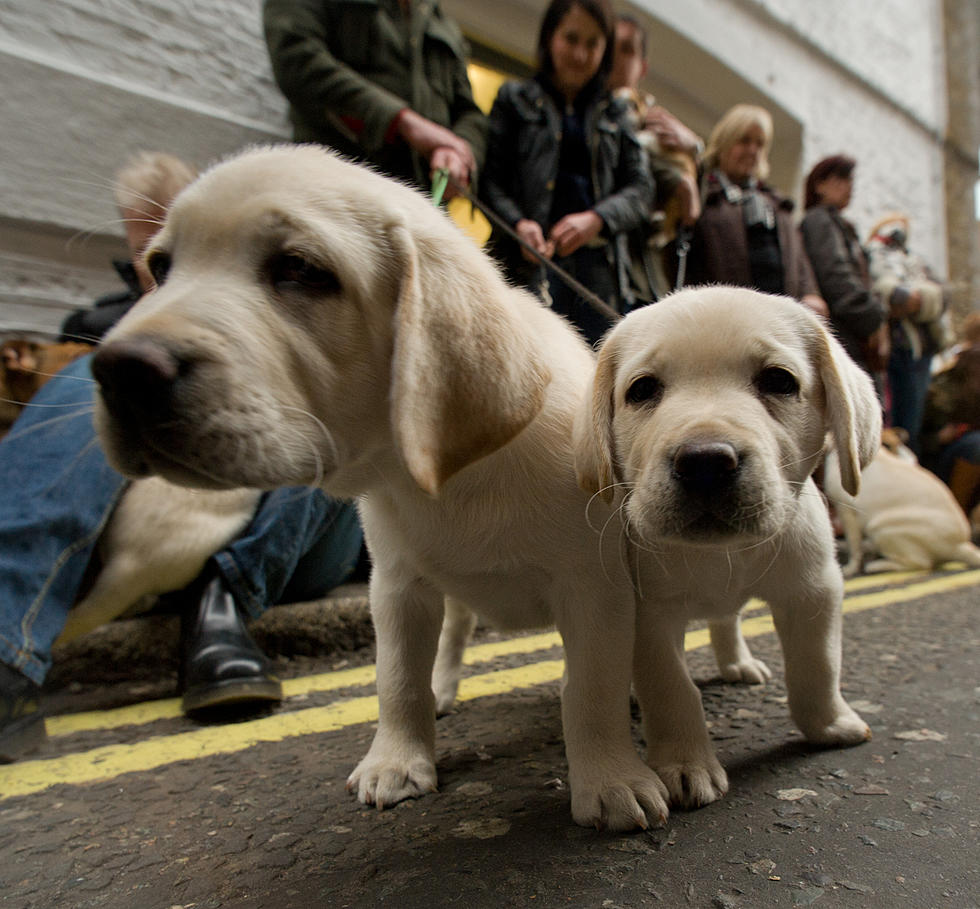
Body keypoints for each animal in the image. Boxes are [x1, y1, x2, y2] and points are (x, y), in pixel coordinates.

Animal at [90, 142, 668, 828]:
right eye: (159, 267)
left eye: (300, 269)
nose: (118, 372)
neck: (453, 480)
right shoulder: (397, 585)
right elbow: (396, 680)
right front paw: (396, 761)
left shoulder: (595, 588)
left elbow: (591, 688)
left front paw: (610, 779)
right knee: (454, 634)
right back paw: (443, 687)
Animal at [576, 290, 880, 808]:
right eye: (642, 390)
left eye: (779, 380)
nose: (705, 463)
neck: (724, 555)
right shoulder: (648, 615)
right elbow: (671, 687)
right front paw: (685, 764)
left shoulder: (814, 592)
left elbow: (817, 666)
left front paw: (829, 725)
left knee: (726, 619)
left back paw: (738, 662)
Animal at [824, 426, 980, 576]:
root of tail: (959, 545)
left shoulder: (846, 511)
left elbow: (853, 545)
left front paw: (850, 568)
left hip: (879, 527)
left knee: (921, 563)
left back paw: (877, 566)